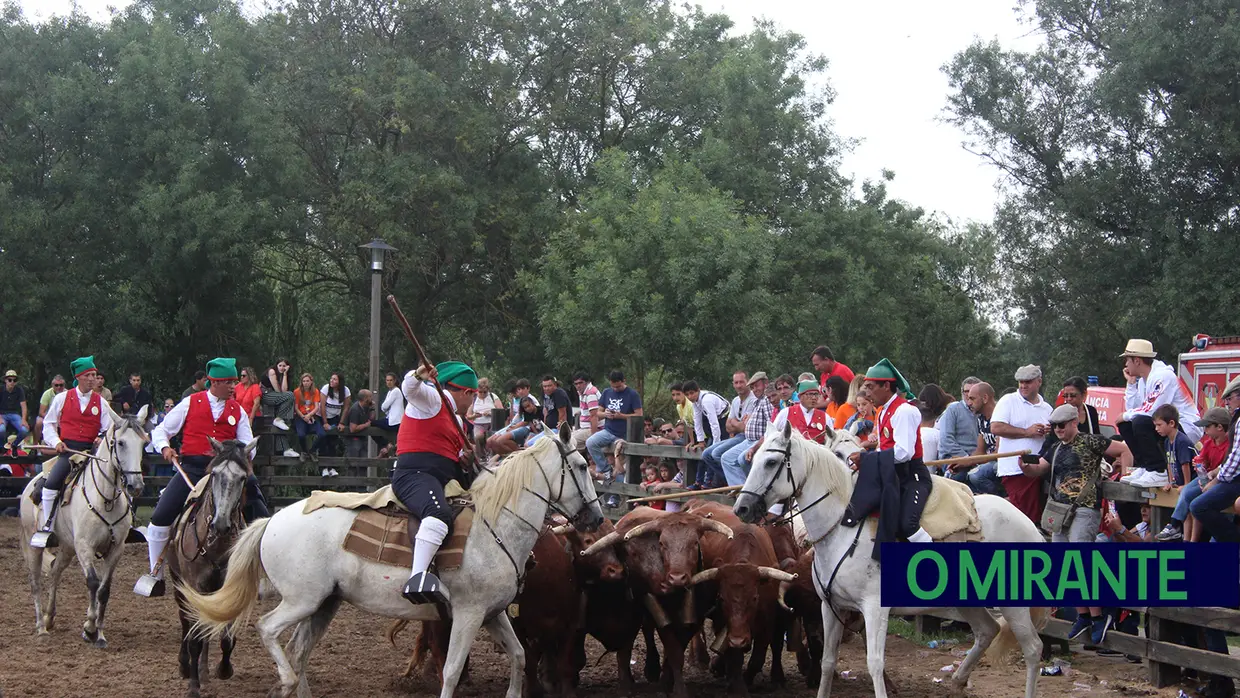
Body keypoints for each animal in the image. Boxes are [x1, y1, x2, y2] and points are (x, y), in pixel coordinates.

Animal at [19, 404, 147, 649]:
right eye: (121, 443)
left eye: (144, 443)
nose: (136, 486)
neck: (106, 499)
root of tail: (30, 484)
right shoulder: (85, 547)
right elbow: (93, 582)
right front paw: (89, 628)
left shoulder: (116, 550)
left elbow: (104, 589)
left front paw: (99, 633)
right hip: (34, 545)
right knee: (35, 581)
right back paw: (40, 626)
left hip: (67, 547)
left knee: (55, 572)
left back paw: (49, 618)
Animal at [181, 421, 605, 698]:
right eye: (583, 466)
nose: (597, 518)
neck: (494, 524)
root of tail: (271, 520)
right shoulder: (468, 615)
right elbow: (451, 671)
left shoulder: (493, 613)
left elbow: (517, 657)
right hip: (302, 600)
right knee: (268, 629)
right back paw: (283, 679)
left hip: (324, 604)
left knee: (299, 652)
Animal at [734, 421, 1046, 698]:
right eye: (755, 459)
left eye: (771, 462)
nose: (742, 508)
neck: (844, 525)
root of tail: (1028, 524)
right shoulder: (830, 606)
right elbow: (828, 661)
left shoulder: (874, 608)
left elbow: (874, 663)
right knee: (987, 630)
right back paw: (958, 680)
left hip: (1013, 604)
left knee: (1032, 648)